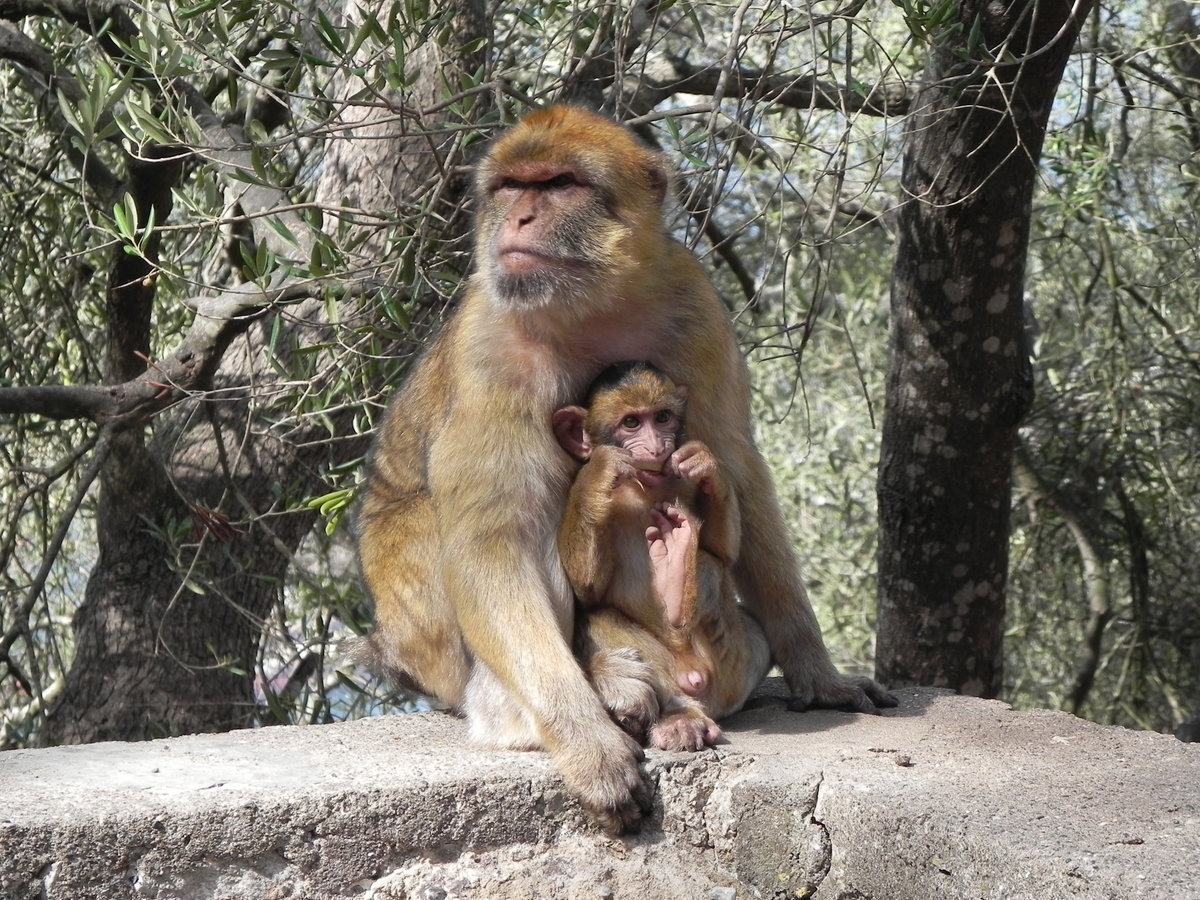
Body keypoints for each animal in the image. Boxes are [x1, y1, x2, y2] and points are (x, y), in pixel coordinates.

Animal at [552, 362, 768, 748]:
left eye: (662, 417)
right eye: (631, 422)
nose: (655, 447)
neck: (643, 488)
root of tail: (696, 675)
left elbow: (722, 553)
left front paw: (706, 465)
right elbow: (586, 593)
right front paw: (599, 474)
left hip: (734, 664)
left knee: (712, 571)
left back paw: (677, 579)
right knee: (598, 618)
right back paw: (676, 716)